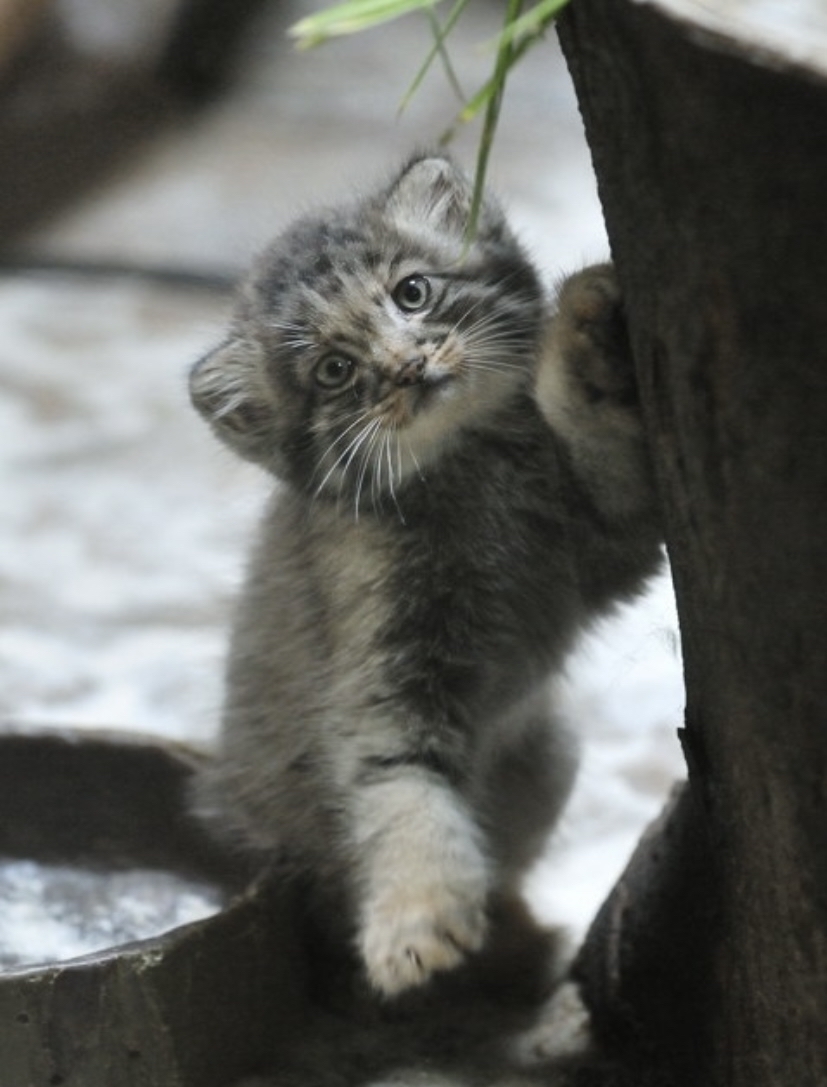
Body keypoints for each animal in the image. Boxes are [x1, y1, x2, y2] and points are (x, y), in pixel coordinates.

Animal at [190, 157, 660, 995]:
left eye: (411, 292)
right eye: (335, 371)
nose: (405, 366)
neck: (465, 469)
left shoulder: (606, 540)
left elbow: (600, 440)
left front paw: (584, 334)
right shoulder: (381, 678)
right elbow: (401, 790)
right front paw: (414, 921)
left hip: (549, 748)